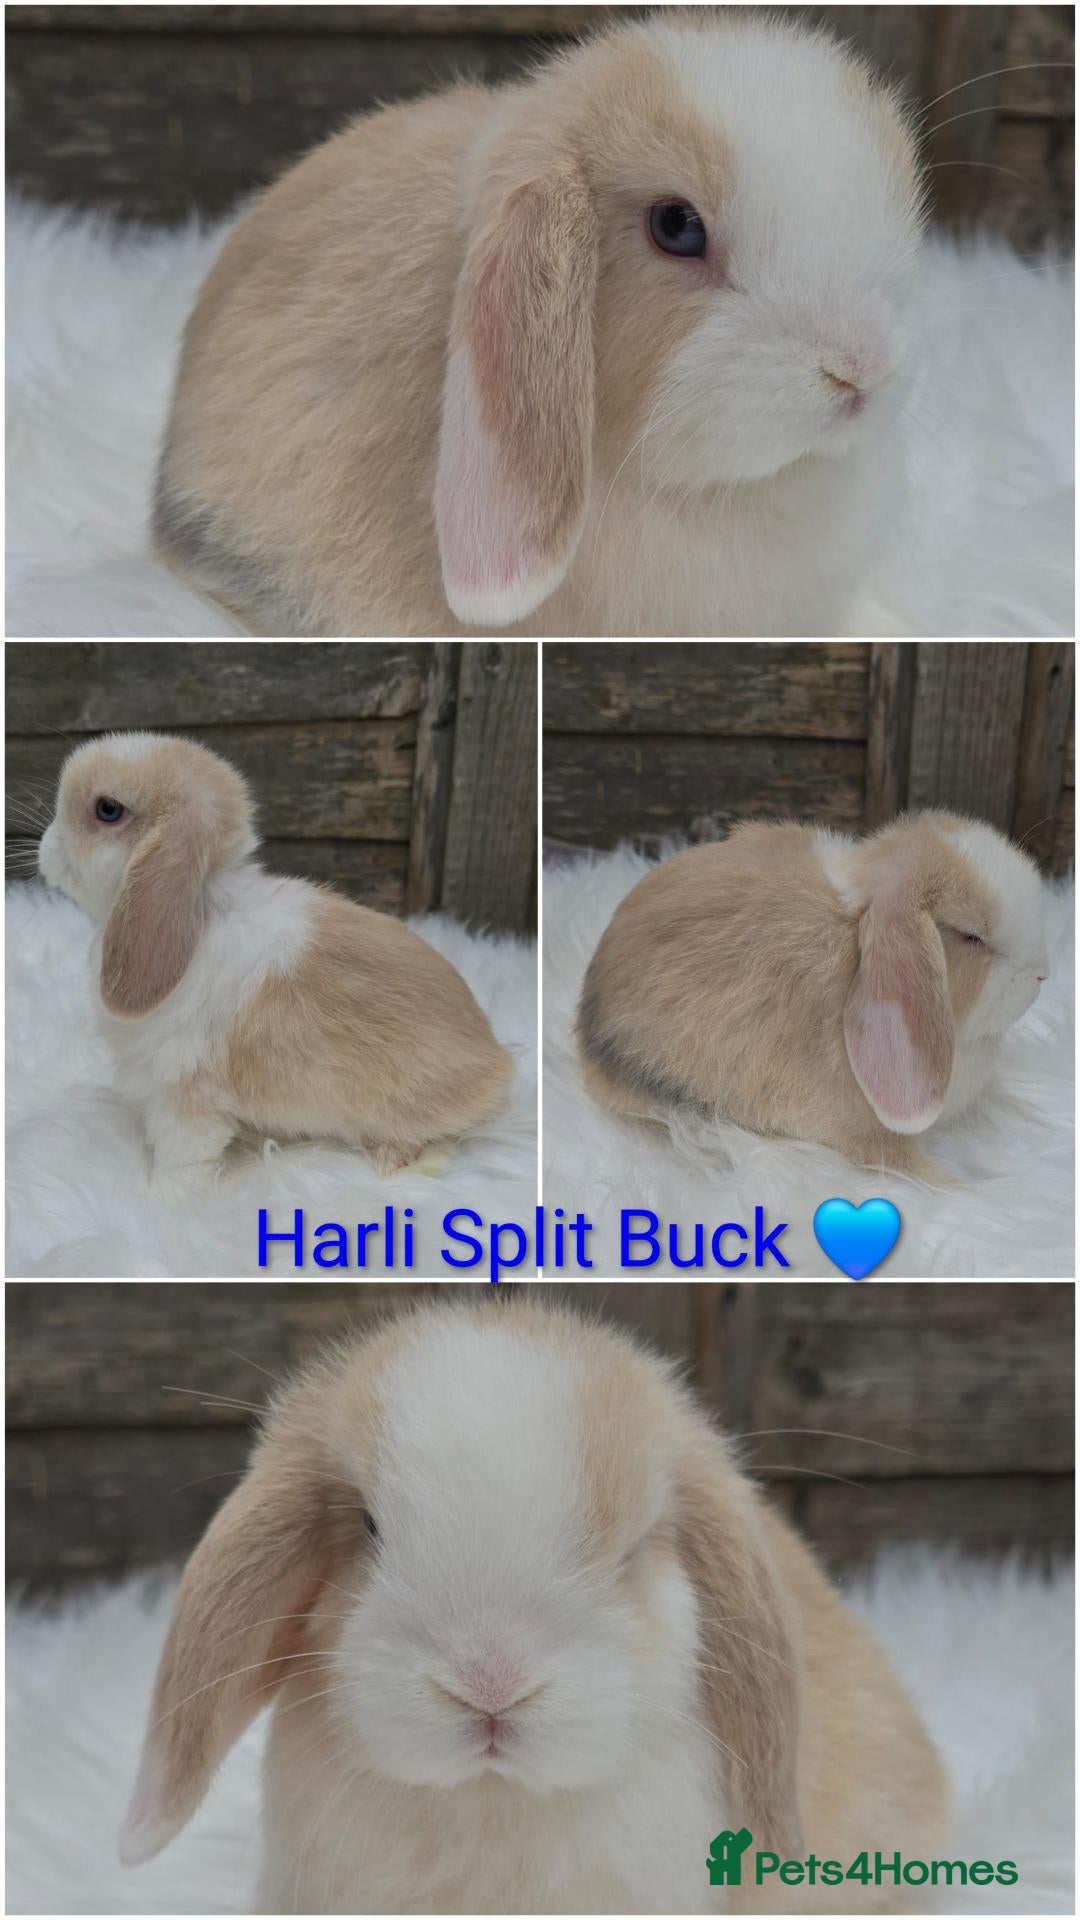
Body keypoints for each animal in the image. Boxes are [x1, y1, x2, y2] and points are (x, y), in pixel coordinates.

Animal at [36, 731, 512, 1189]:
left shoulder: (187, 1096)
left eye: (108, 809)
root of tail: (498, 1062)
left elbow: (182, 1159)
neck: (199, 915)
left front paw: (162, 1202)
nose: (45, 846)